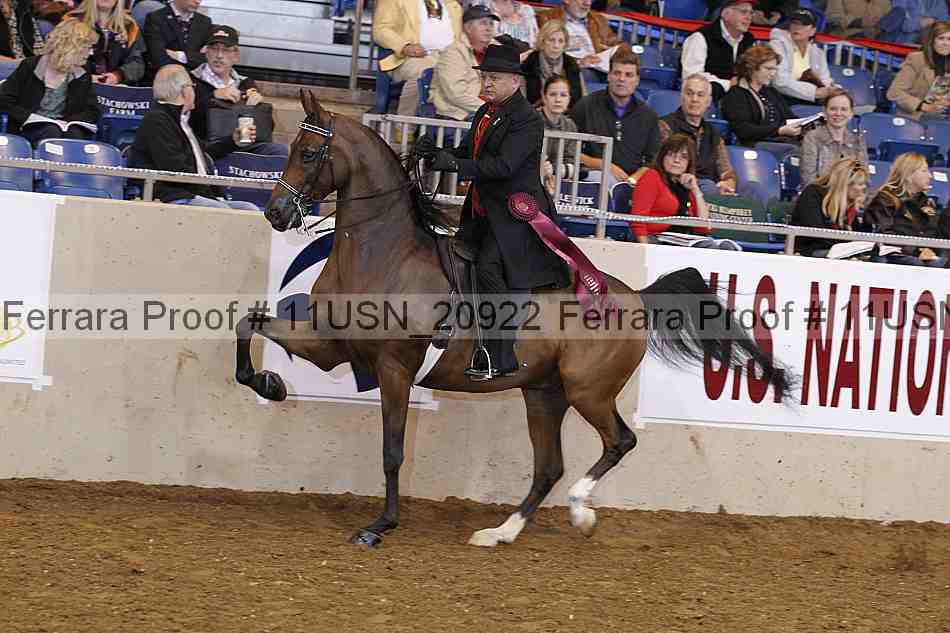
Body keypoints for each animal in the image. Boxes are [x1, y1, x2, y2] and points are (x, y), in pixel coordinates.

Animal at [235, 90, 794, 548]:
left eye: (310, 153)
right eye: (291, 148)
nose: (276, 213)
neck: (382, 253)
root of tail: (635, 297)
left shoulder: (395, 367)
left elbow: (392, 449)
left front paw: (380, 526)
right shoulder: (332, 345)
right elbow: (251, 325)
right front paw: (270, 384)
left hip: (587, 391)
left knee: (619, 442)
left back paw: (580, 513)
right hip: (542, 393)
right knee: (549, 466)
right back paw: (500, 532)